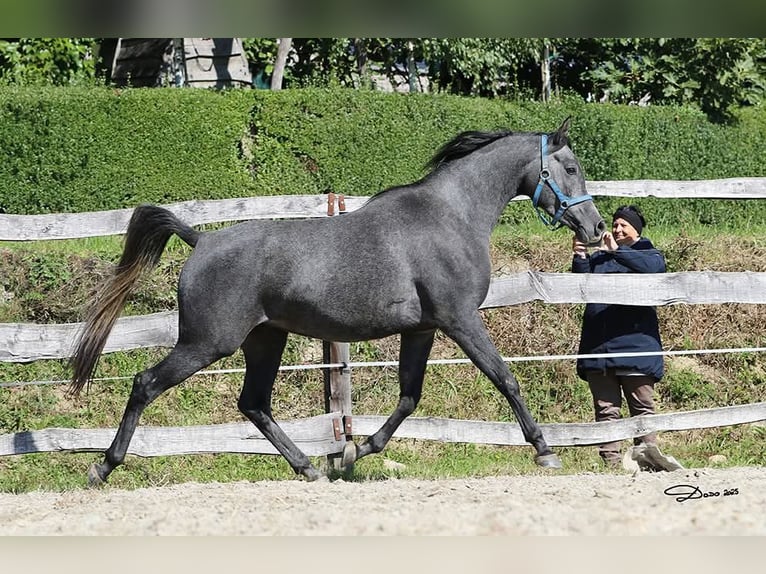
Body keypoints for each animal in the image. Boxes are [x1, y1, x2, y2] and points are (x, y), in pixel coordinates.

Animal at [69, 117, 606, 485]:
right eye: (571, 167)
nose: (596, 228)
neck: (450, 216)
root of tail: (200, 240)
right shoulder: (460, 319)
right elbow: (506, 379)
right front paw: (544, 450)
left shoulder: (423, 328)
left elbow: (409, 397)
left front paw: (356, 452)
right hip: (207, 343)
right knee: (145, 384)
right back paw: (102, 468)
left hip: (265, 340)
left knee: (254, 404)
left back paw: (311, 468)